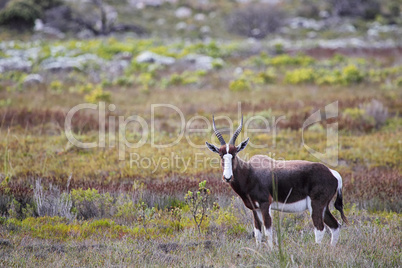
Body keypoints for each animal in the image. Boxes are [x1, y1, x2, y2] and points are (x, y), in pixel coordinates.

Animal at [206, 116, 348, 246]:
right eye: (220, 155)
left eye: (234, 154)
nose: (227, 177)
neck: (250, 172)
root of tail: (332, 173)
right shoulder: (255, 208)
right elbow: (258, 233)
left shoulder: (265, 204)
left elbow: (268, 232)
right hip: (324, 207)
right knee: (335, 226)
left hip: (316, 205)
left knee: (320, 229)